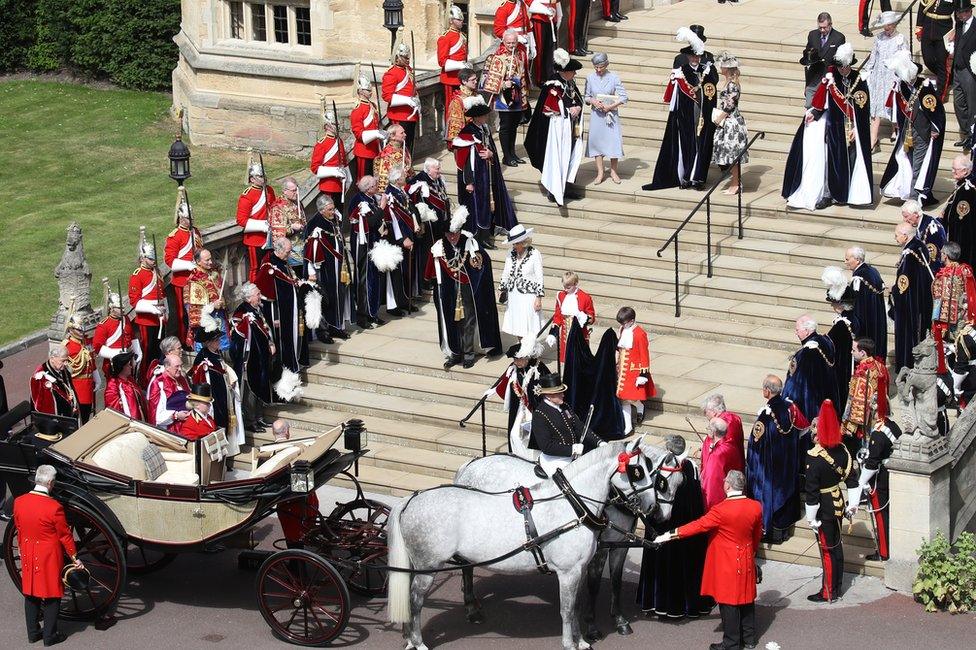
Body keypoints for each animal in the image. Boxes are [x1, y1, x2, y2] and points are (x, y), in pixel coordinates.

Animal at [386, 438, 652, 644]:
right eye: (638, 471)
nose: (650, 506)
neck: (572, 505)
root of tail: (410, 499)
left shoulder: (578, 569)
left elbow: (575, 606)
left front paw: (582, 641)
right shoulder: (568, 571)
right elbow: (567, 610)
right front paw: (571, 643)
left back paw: (410, 635)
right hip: (427, 566)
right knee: (415, 600)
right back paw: (418, 641)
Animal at [456, 440, 680, 636]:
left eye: (680, 484)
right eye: (660, 481)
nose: (657, 510)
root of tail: (470, 465)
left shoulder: (620, 546)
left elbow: (616, 581)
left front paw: (620, 620)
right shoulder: (599, 550)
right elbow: (594, 584)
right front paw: (591, 626)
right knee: (466, 567)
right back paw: (471, 608)